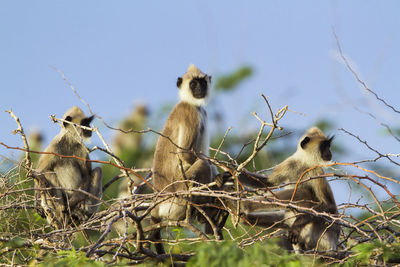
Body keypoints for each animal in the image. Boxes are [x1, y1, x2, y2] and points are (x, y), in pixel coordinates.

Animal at [149, 65, 225, 255]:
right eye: (193, 83)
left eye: (202, 82)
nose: (199, 89)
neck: (193, 104)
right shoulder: (190, 112)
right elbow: (185, 154)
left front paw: (219, 177)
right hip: (180, 193)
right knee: (203, 164)